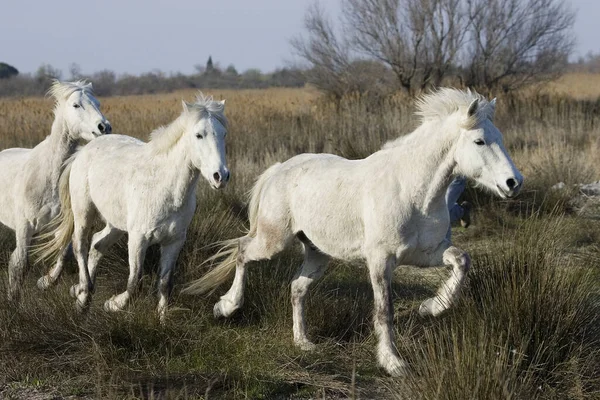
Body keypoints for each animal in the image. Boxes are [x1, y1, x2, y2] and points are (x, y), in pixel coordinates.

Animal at [0, 80, 110, 300]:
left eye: (98, 103)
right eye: (76, 105)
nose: (104, 127)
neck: (47, 176)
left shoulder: (60, 224)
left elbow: (63, 253)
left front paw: (46, 282)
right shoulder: (24, 227)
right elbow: (19, 264)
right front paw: (13, 299)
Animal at [39, 94, 227, 322]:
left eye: (223, 134)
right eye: (199, 135)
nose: (220, 176)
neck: (165, 186)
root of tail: (84, 150)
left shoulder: (174, 241)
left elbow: (165, 283)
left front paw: (162, 320)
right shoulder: (139, 239)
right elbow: (135, 281)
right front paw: (112, 304)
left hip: (116, 224)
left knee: (97, 244)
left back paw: (83, 296)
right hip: (84, 212)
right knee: (79, 245)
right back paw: (83, 294)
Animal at [185, 89, 524, 376]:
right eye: (480, 141)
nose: (513, 182)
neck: (413, 190)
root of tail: (278, 169)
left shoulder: (427, 253)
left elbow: (461, 260)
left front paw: (431, 308)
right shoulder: (381, 260)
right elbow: (384, 310)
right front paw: (393, 364)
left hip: (318, 254)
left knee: (296, 288)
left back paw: (303, 343)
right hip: (274, 241)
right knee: (243, 251)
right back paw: (226, 307)